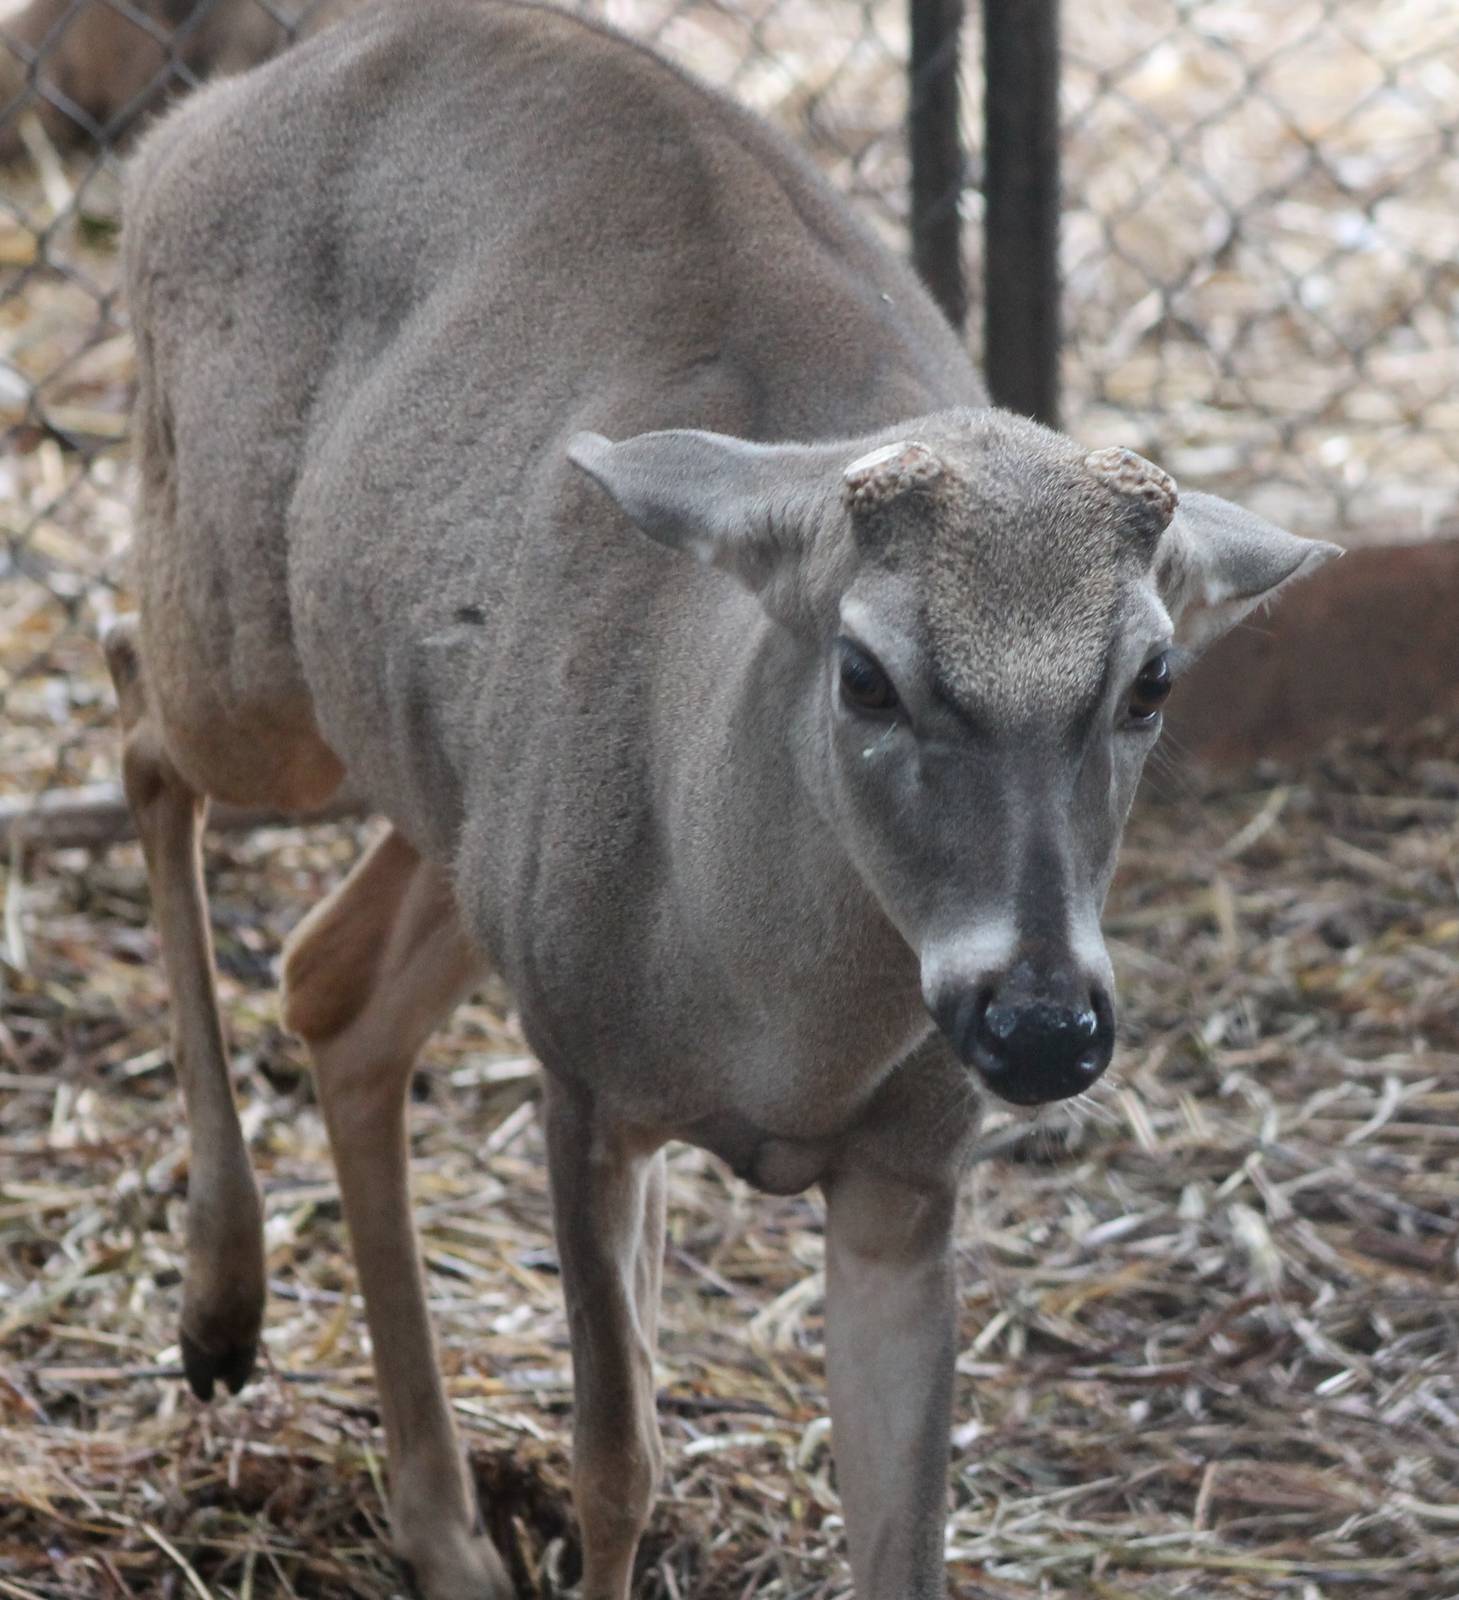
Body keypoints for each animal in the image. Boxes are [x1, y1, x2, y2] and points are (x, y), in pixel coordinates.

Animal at [107, 2, 1338, 1596]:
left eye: (1151, 680)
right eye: (865, 673)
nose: (1039, 1023)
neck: (774, 1028)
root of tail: (178, 135)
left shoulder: (909, 1174)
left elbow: (902, 1536)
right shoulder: (578, 1077)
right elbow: (615, 1460)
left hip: (465, 802)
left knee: (332, 977)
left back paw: (440, 1527)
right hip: (257, 665)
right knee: (135, 706)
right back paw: (218, 1306)